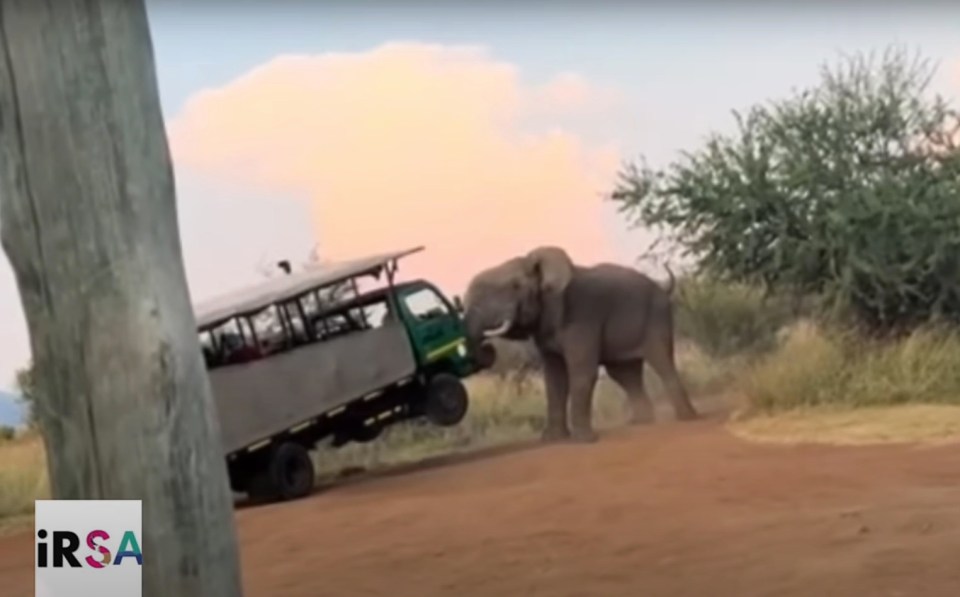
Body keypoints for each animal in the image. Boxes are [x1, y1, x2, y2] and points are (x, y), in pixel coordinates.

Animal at [462, 243, 692, 442]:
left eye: (516, 286)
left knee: (661, 362)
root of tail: (662, 287)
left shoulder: (582, 315)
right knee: (624, 374)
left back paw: (687, 417)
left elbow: (581, 372)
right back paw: (641, 422)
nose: (487, 347)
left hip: (657, 316)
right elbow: (555, 379)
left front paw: (584, 440)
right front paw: (552, 439)